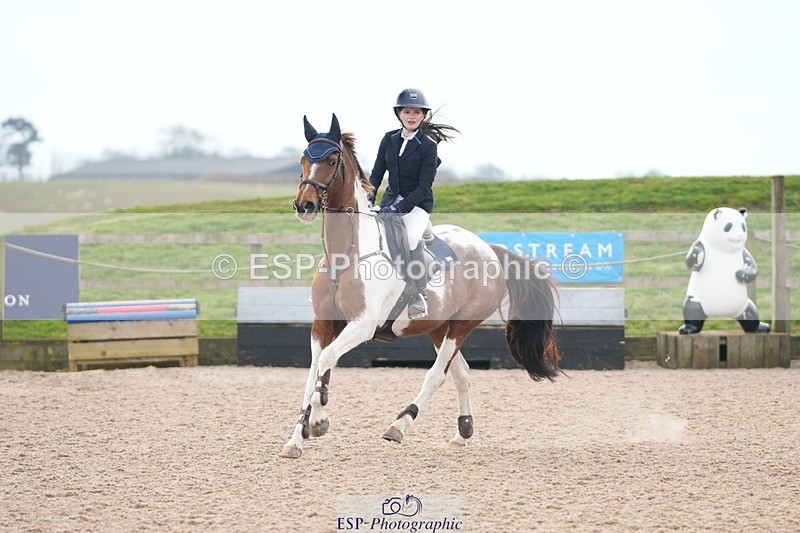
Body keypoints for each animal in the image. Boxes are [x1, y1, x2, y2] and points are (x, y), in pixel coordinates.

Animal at [279, 114, 560, 459]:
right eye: (303, 160)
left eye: (332, 161)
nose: (303, 205)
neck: (345, 255)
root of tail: (490, 249)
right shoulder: (322, 323)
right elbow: (314, 370)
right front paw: (297, 437)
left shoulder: (363, 325)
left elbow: (327, 359)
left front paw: (318, 420)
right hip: (438, 327)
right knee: (461, 374)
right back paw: (462, 432)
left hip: (461, 326)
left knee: (437, 375)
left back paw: (399, 425)